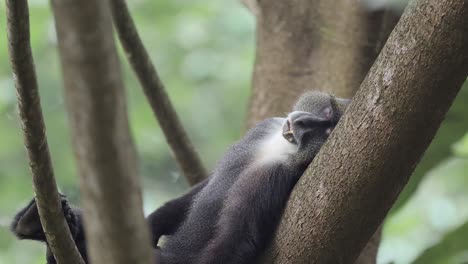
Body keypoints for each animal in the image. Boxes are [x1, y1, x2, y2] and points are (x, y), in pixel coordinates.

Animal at [10, 91, 352, 264]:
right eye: (321, 114)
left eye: (324, 130)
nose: (299, 125)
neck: (278, 150)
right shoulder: (262, 130)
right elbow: (194, 194)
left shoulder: (274, 180)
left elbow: (237, 239)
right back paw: (36, 223)